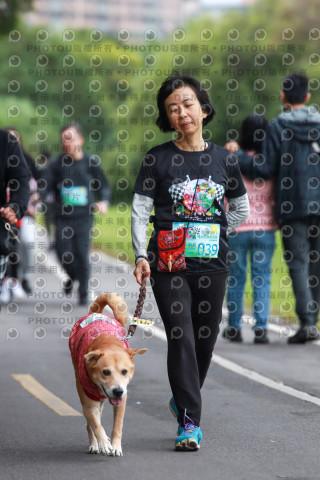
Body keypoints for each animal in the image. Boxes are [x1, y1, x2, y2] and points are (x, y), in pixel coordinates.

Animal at [69, 292, 147, 458]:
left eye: (124, 371)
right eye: (106, 372)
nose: (118, 391)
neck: (107, 343)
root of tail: (97, 313)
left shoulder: (122, 400)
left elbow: (117, 425)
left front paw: (116, 446)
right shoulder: (89, 403)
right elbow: (96, 425)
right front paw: (104, 443)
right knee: (90, 424)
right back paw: (95, 444)